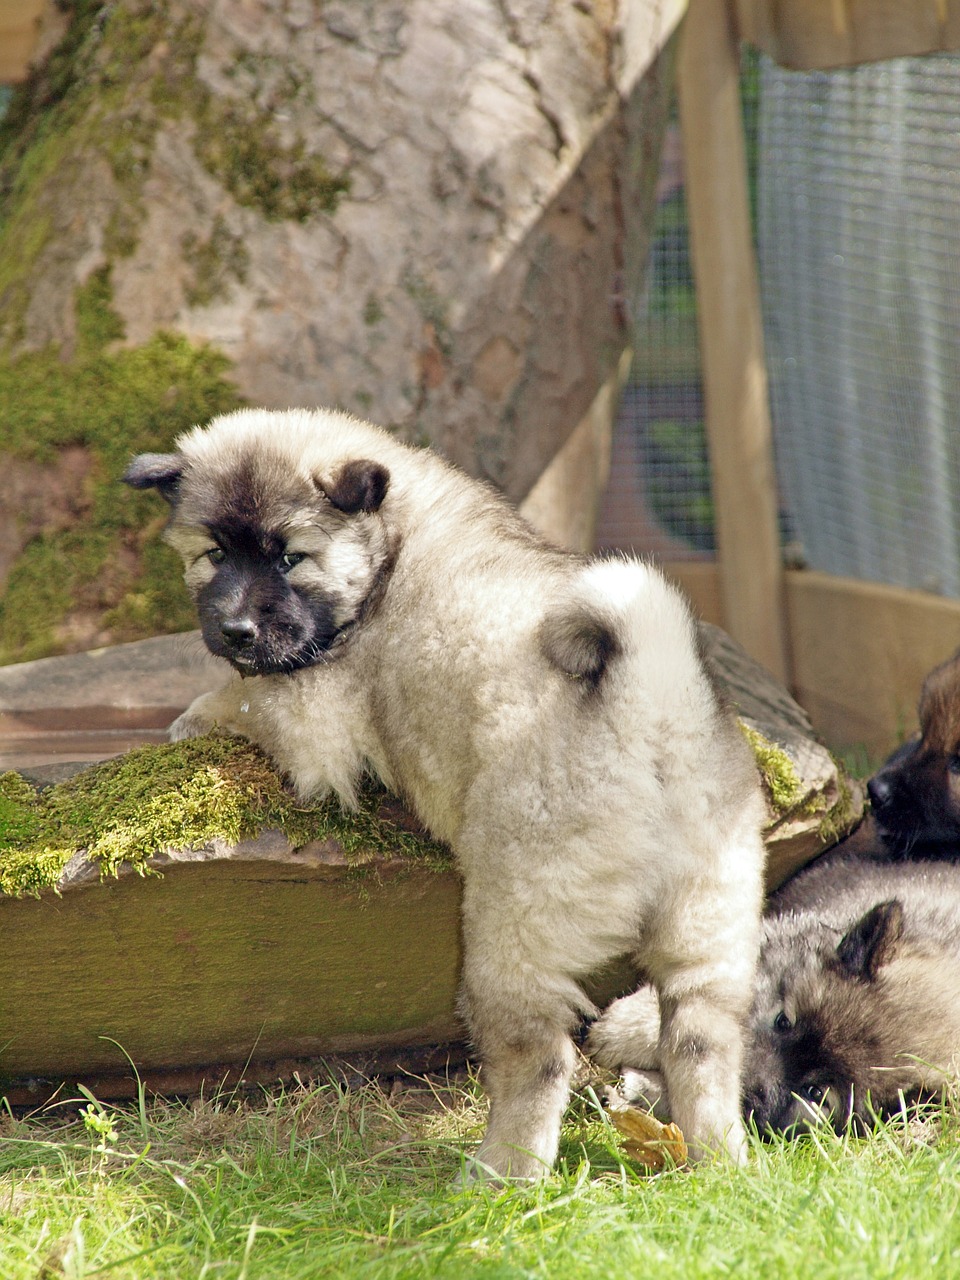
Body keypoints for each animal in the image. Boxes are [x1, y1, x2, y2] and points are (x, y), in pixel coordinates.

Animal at [126, 407, 768, 1177]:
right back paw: (719, 1163)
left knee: (540, 1058)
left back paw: (500, 1175)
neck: (392, 542)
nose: (236, 630)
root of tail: (648, 694)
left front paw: (191, 719)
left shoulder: (312, 706)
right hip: (710, 923)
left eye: (289, 559)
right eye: (215, 554)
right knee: (703, 1043)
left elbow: (244, 697)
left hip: (514, 927)